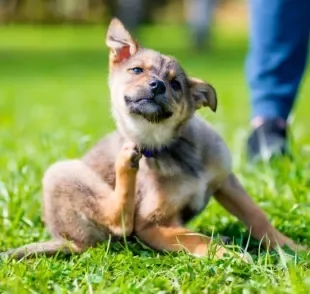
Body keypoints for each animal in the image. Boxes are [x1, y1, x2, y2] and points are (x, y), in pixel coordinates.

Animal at [1, 18, 304, 260]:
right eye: (137, 70)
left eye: (176, 84)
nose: (157, 85)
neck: (168, 147)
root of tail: (66, 240)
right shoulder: (151, 225)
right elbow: (197, 239)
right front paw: (228, 255)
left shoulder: (226, 181)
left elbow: (257, 216)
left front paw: (289, 246)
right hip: (60, 173)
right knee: (119, 222)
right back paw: (125, 164)